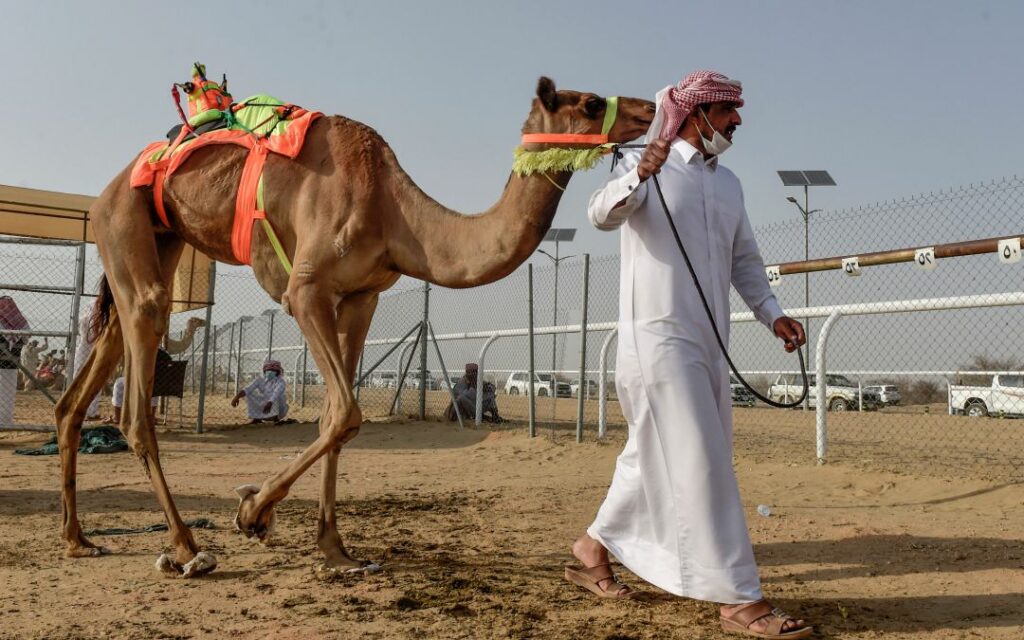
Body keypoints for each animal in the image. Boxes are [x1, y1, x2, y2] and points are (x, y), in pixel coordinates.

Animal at [51, 77, 651, 577]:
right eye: (591, 102)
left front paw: (334, 547)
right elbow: (345, 411)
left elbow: (334, 420)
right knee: (136, 398)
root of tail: (105, 193)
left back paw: (79, 539)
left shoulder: (362, 296)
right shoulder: (307, 290)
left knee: (77, 393)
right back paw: (186, 548)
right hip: (124, 220)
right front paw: (252, 512)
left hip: (158, 238)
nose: (648, 109)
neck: (393, 211)